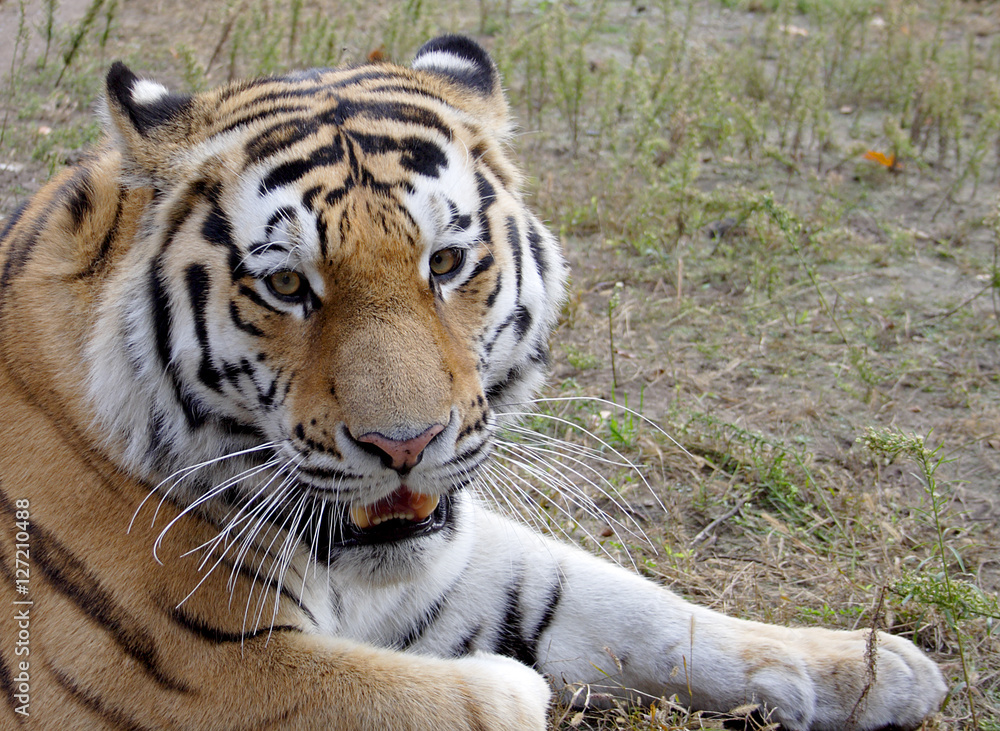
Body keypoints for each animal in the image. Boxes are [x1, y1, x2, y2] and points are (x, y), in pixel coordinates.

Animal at [0, 35, 946, 730]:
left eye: (446, 263)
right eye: (287, 285)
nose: (405, 445)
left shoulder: (455, 562)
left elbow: (631, 601)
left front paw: (871, 664)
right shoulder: (184, 671)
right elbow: (453, 697)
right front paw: (511, 688)